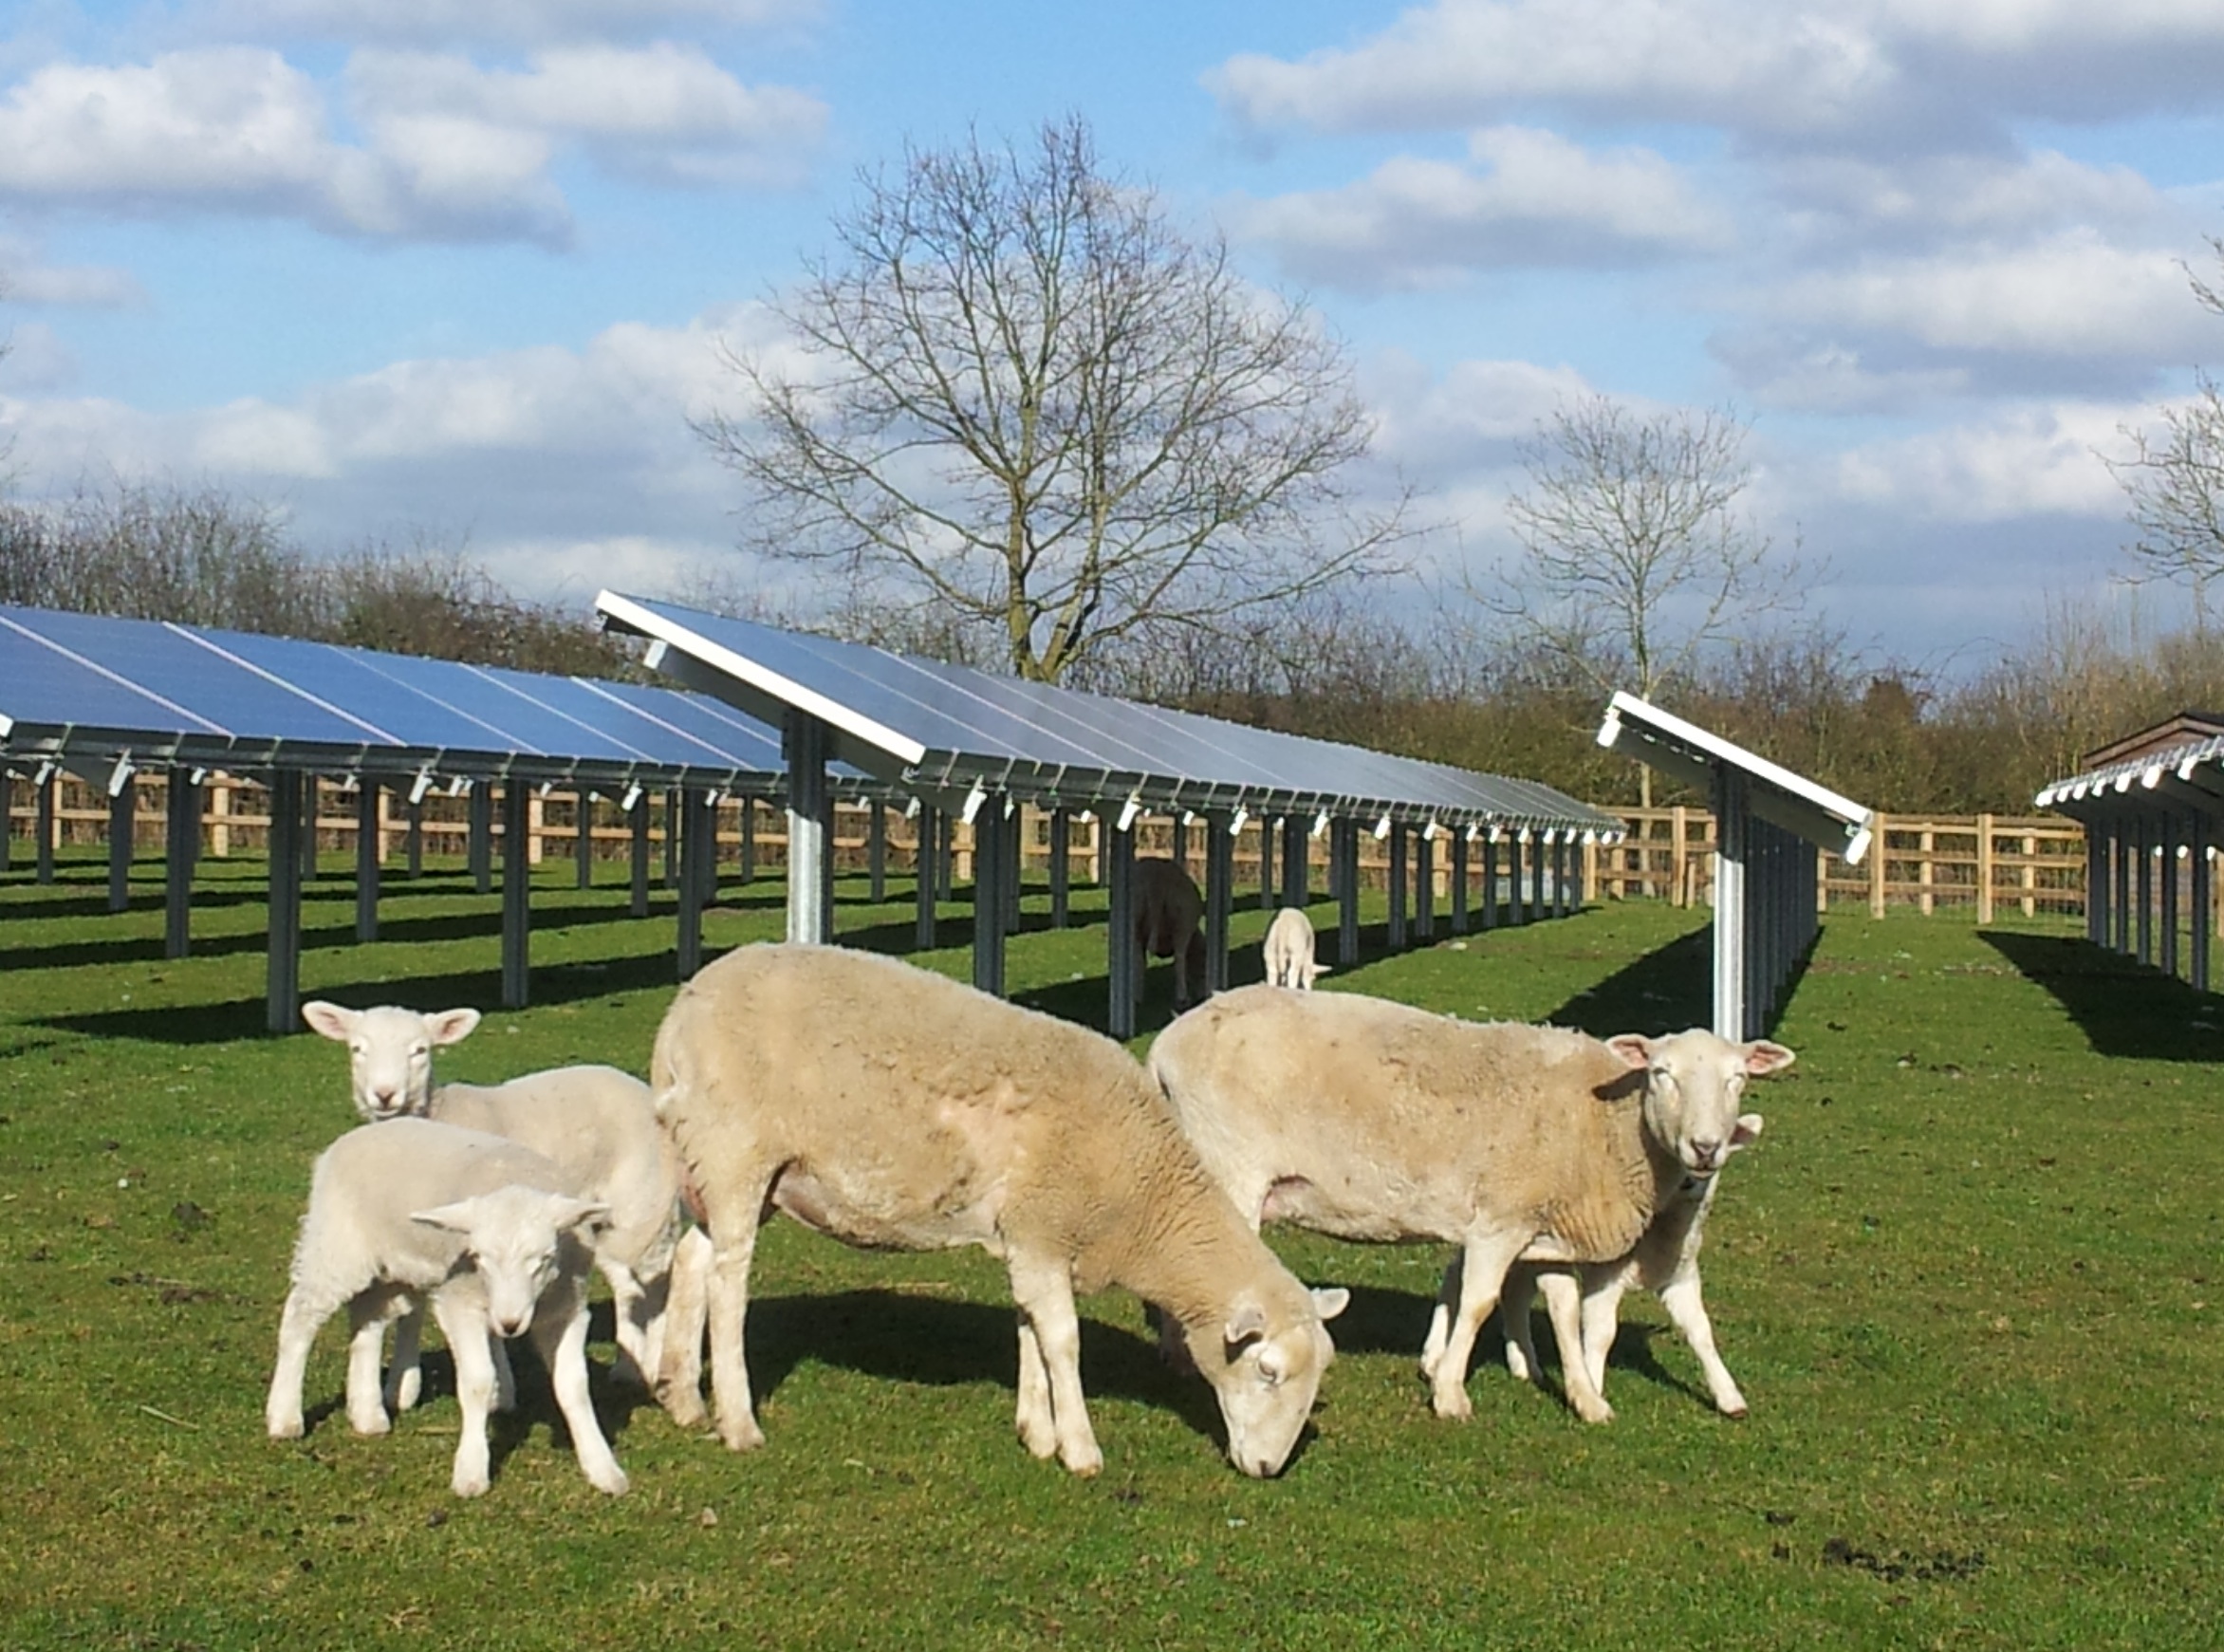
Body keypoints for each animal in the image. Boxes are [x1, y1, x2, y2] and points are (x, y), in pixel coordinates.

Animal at [264, 1117, 627, 1498]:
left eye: (544, 1258)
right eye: (478, 1257)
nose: (510, 1324)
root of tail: (350, 1139)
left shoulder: (567, 1309)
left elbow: (574, 1386)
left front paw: (603, 1468)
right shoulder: (459, 1304)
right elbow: (478, 1382)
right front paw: (471, 1472)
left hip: (389, 1265)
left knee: (367, 1322)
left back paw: (368, 1415)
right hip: (335, 1246)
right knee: (300, 1317)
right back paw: (285, 1417)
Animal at [299, 1001, 685, 1412]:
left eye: (420, 1051)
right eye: (357, 1049)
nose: (384, 1094)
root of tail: (644, 1090)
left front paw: (501, 1388)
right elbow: (415, 1305)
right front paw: (403, 1386)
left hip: (641, 1203)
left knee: (653, 1282)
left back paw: (649, 1366)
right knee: (628, 1284)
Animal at [650, 943, 1347, 1478]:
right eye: (1267, 1371)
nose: (1267, 1469)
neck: (1146, 1198)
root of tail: (680, 1012)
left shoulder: (1030, 1237)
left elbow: (1029, 1329)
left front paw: (1036, 1432)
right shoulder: (1044, 1226)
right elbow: (1062, 1340)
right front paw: (1080, 1450)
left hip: (723, 1165)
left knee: (693, 1260)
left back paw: (682, 1397)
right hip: (736, 1151)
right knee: (728, 1284)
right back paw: (738, 1421)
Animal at [1134, 855, 1207, 1009]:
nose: (1204, 996)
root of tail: (1156, 877)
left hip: (1134, 915)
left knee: (1138, 960)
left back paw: (1136, 997)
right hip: (1182, 920)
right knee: (1179, 959)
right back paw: (1182, 999)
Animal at [1494, 1112, 1765, 1422]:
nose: (1689, 1181)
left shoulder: (1680, 1275)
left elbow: (1700, 1331)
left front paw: (1729, 1397)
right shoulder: (1605, 1274)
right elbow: (1601, 1333)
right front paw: (1593, 1389)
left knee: (1515, 1291)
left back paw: (1523, 1364)